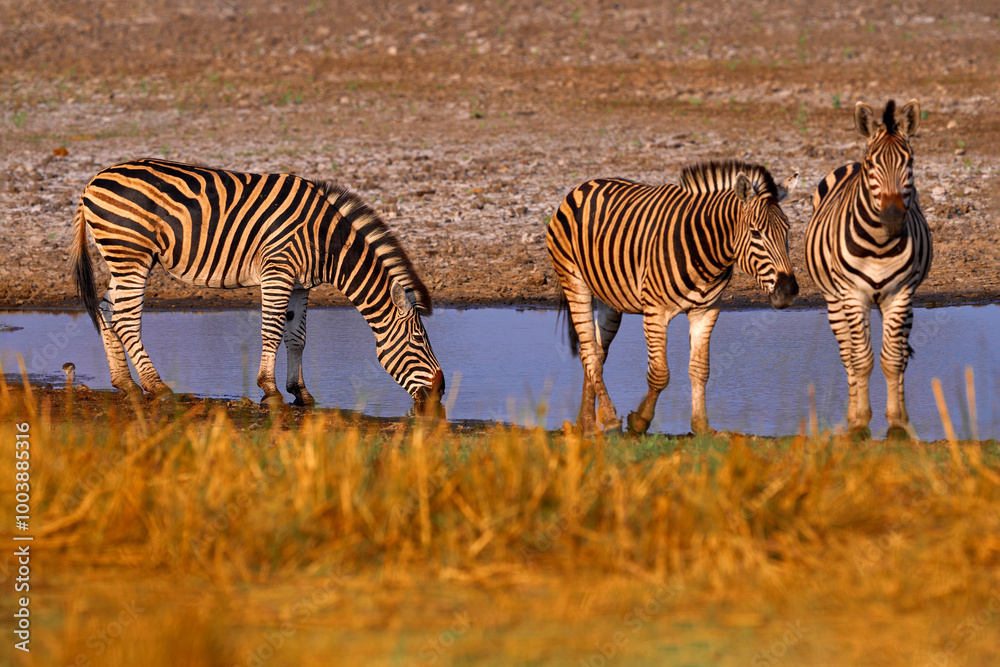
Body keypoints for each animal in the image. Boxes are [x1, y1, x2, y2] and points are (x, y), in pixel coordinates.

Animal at [71, 158, 445, 413]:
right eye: (418, 340)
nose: (440, 392)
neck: (325, 241)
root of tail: (93, 180)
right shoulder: (277, 270)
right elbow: (272, 331)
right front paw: (271, 391)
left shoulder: (300, 284)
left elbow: (297, 337)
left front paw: (300, 392)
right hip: (131, 254)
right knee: (126, 319)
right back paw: (157, 386)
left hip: (124, 259)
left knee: (106, 310)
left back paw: (126, 384)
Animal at [547, 160, 800, 436]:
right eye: (755, 233)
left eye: (787, 231)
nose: (788, 291)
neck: (707, 253)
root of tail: (585, 184)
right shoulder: (655, 311)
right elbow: (659, 374)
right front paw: (639, 422)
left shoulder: (706, 311)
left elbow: (700, 369)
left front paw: (702, 427)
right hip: (574, 281)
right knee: (590, 353)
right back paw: (607, 422)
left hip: (609, 298)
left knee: (595, 351)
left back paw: (586, 423)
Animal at [806, 99, 932, 439]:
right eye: (871, 163)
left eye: (909, 161)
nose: (892, 218)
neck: (879, 244)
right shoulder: (853, 295)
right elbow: (861, 360)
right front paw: (861, 421)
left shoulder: (900, 295)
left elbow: (892, 360)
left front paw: (896, 423)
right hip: (834, 302)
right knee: (848, 355)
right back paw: (851, 415)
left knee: (899, 356)